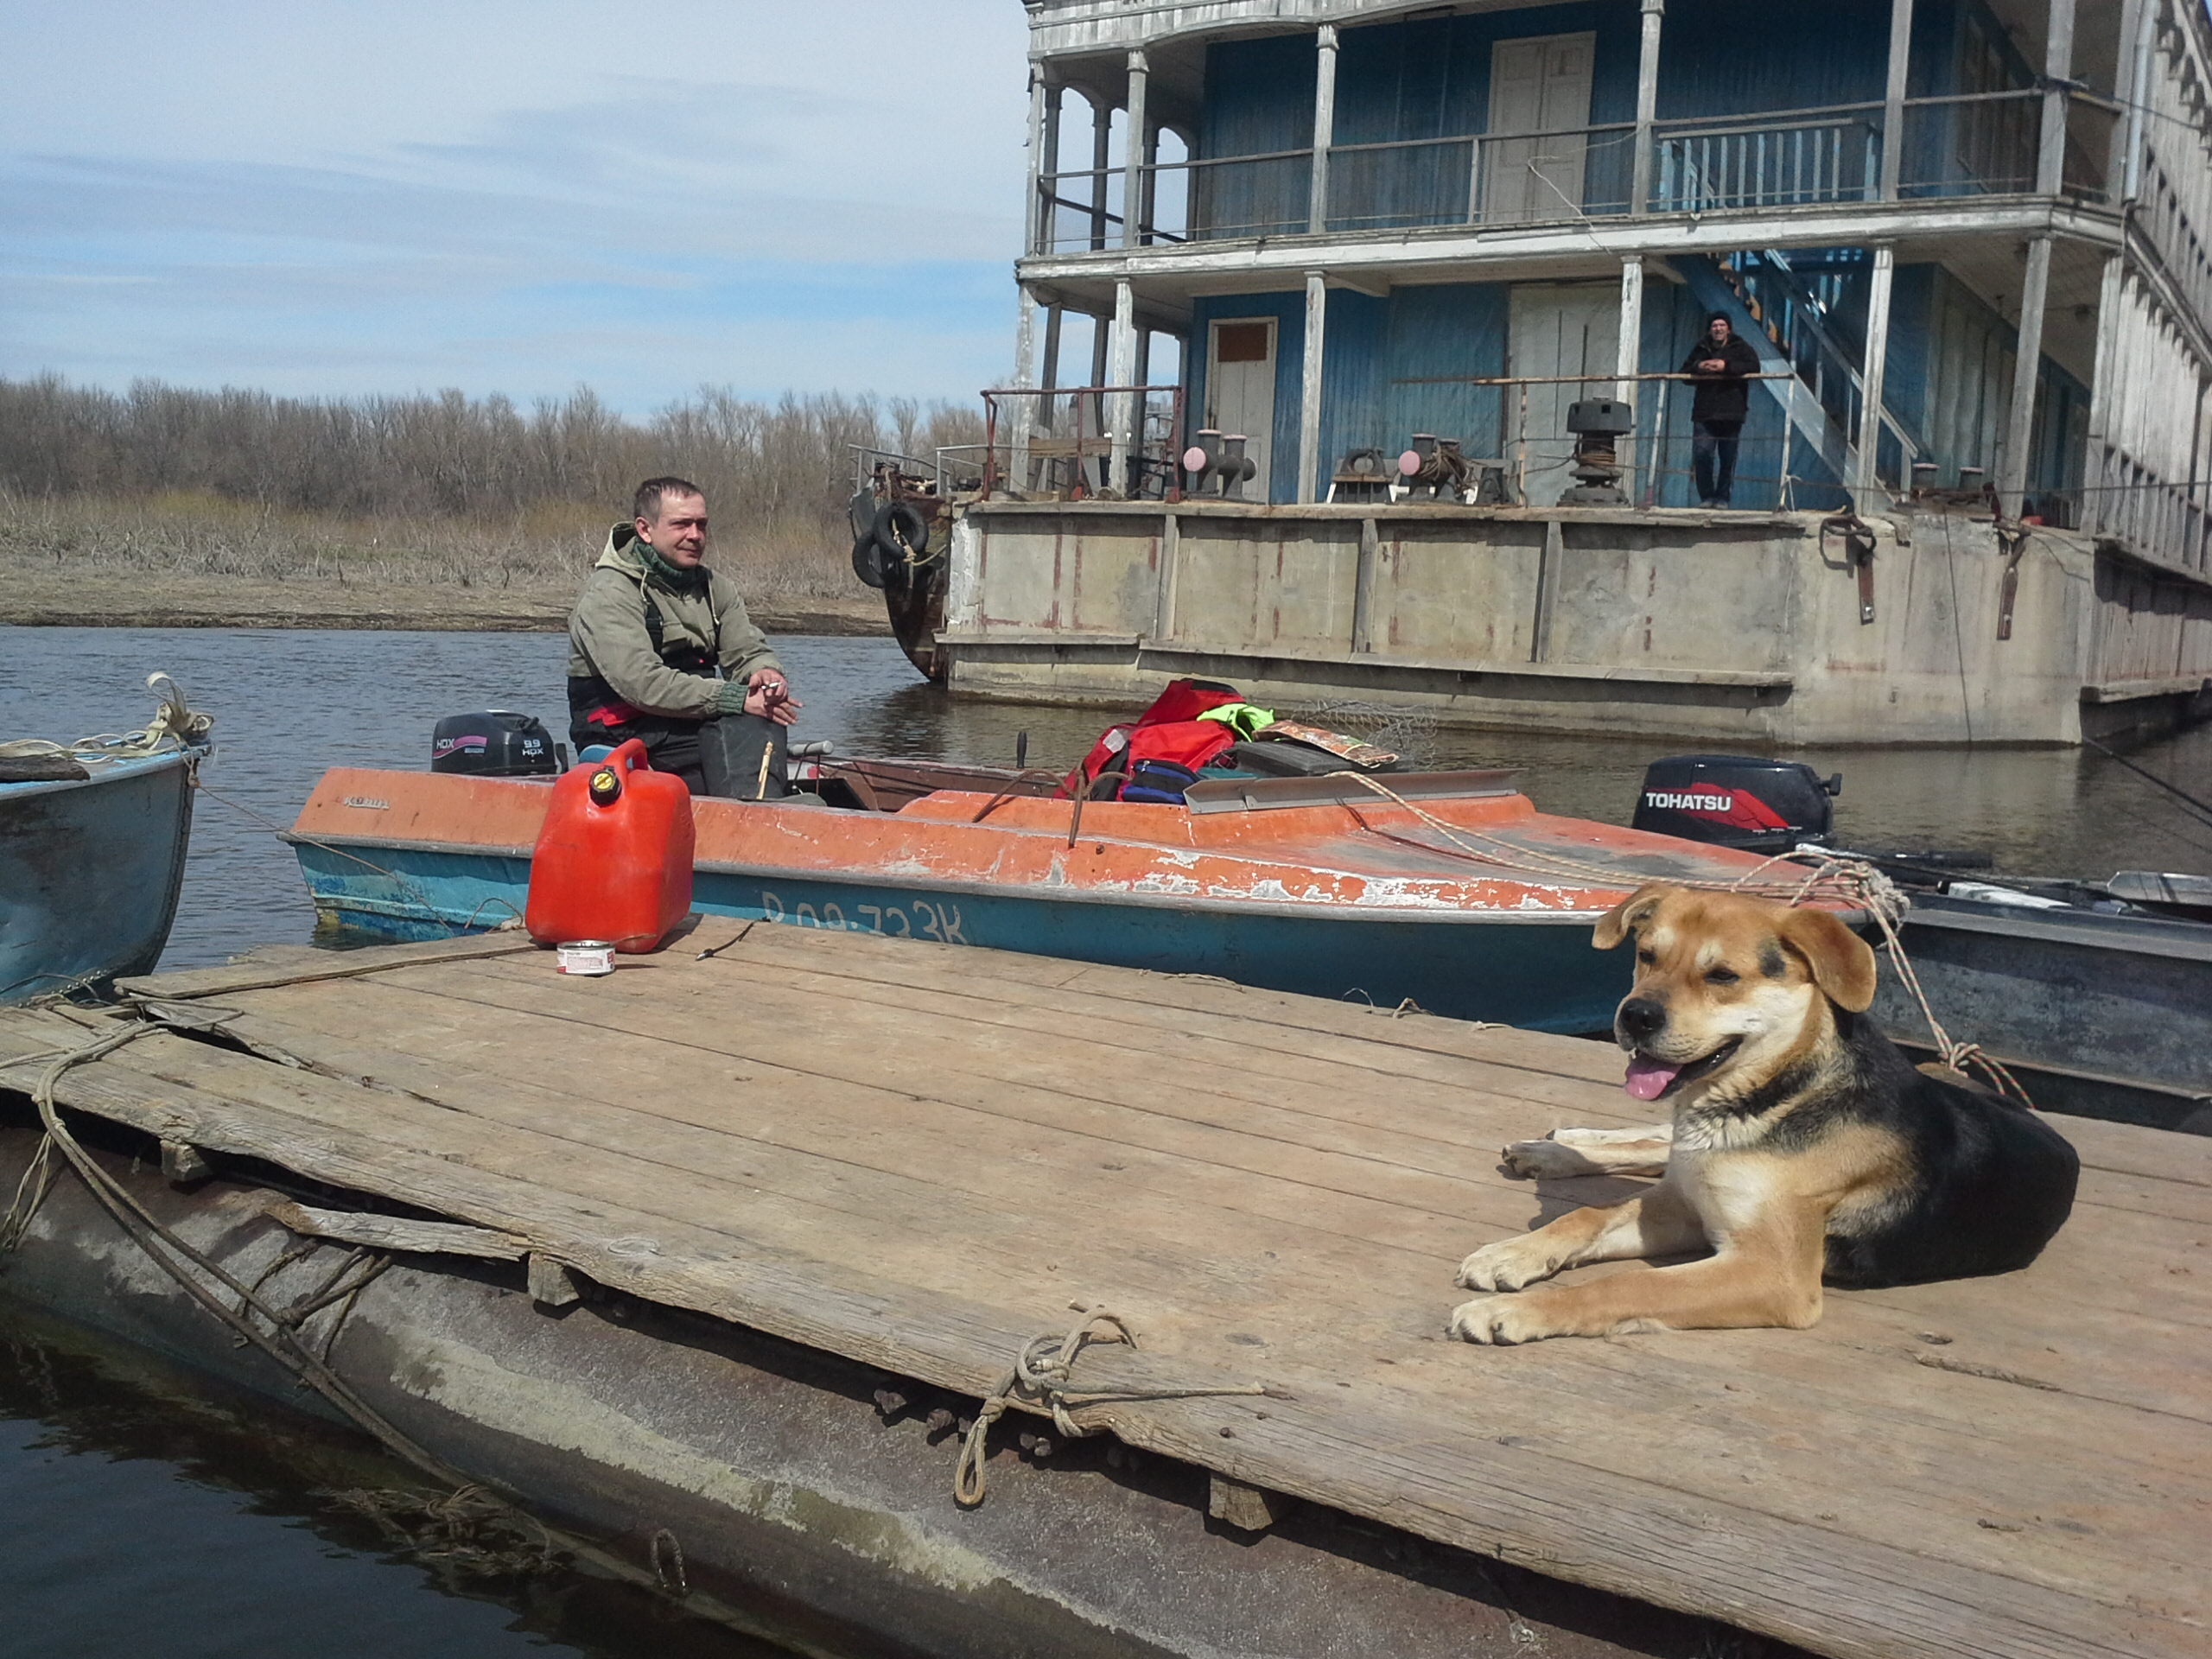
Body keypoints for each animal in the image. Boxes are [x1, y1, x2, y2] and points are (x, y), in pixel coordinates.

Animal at [1450, 884, 2079, 1344]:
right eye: (1646, 956)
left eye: (1723, 976)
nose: (1635, 1017)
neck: (1769, 1095)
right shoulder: (1684, 1202)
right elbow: (1583, 1217)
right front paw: (1512, 1252)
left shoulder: (1770, 1272)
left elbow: (1624, 1285)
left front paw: (1514, 1312)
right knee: (1654, 1142)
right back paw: (1553, 1147)